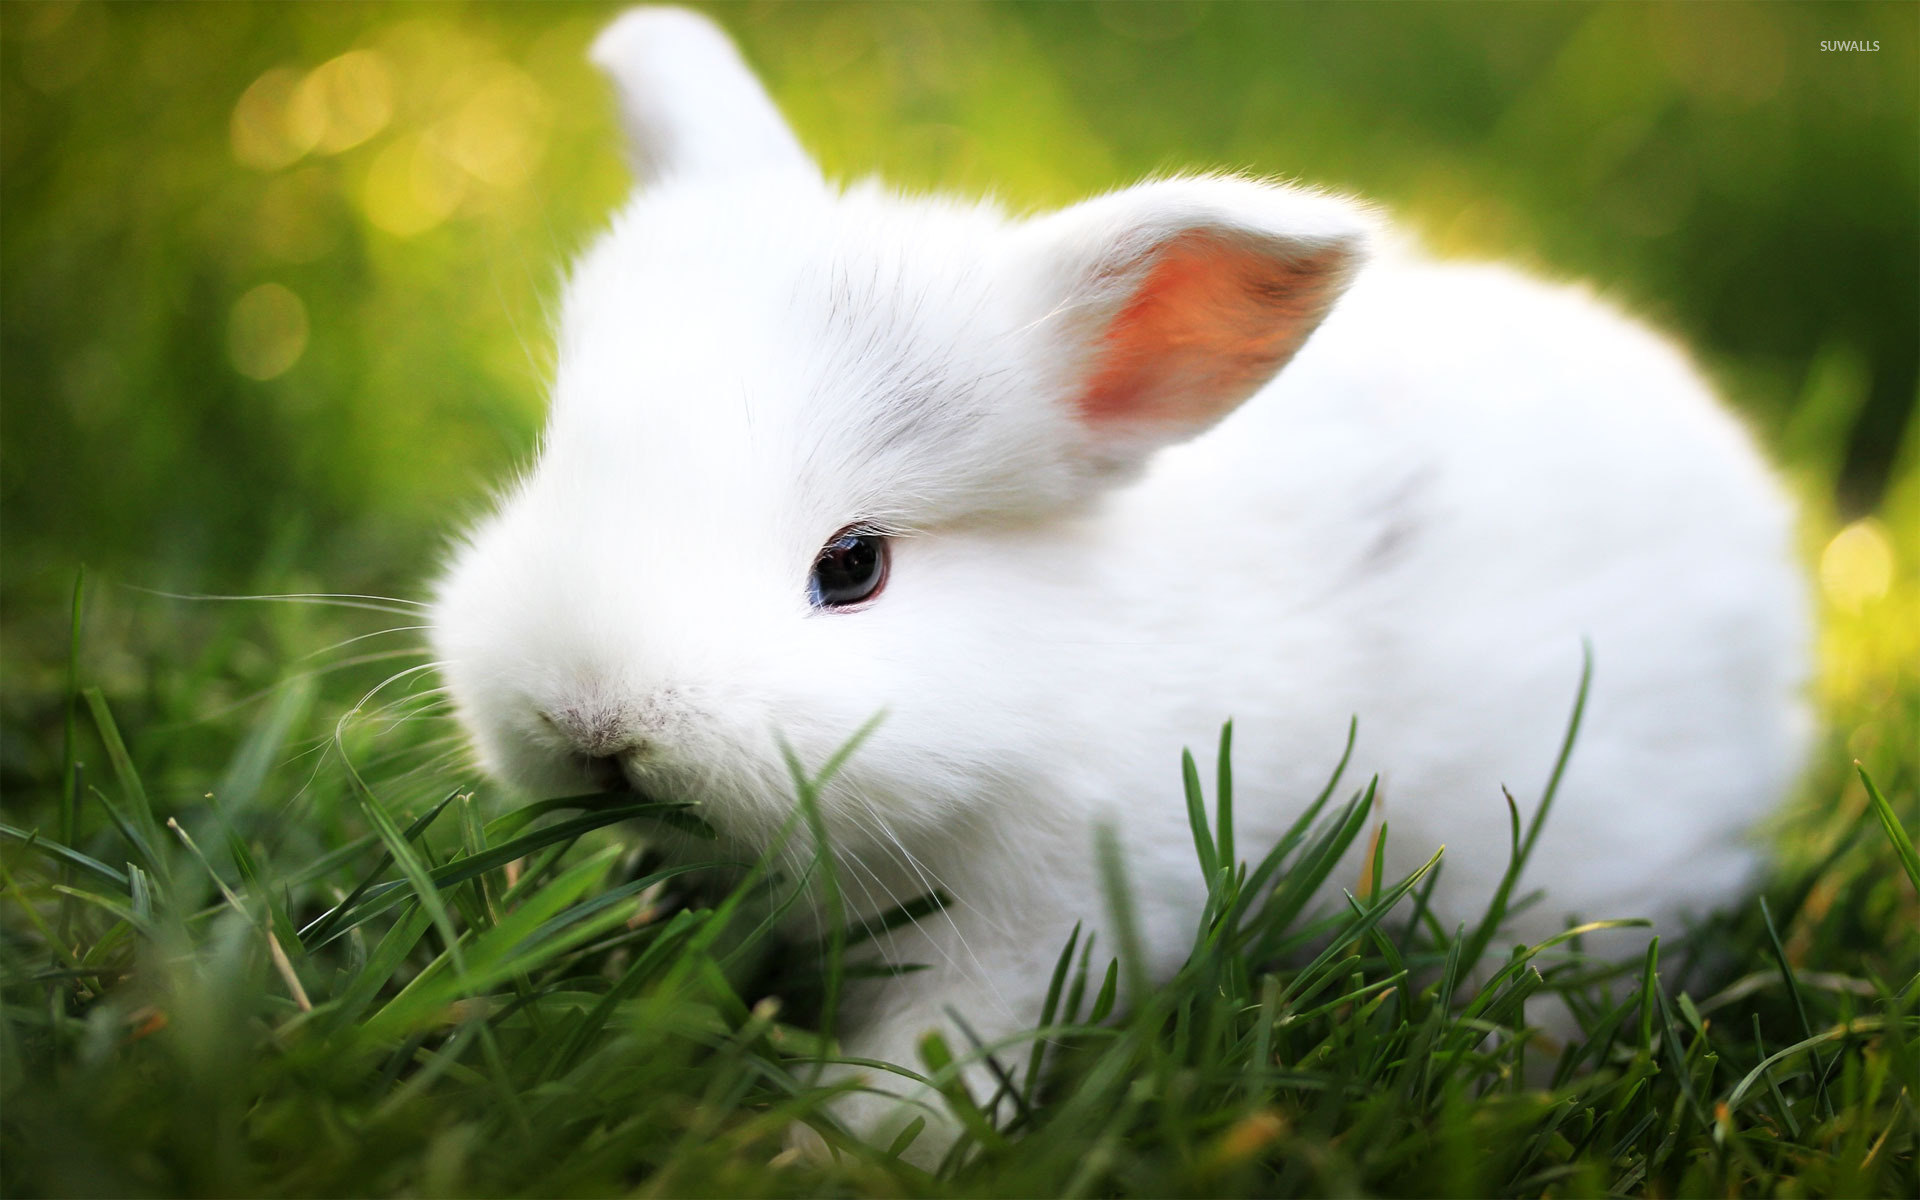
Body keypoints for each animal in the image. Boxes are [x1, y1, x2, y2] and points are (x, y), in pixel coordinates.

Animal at [428, 6, 1811, 1162]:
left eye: (854, 565)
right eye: (553, 463)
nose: (593, 722)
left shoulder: (1047, 920)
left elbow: (936, 1060)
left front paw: (834, 1155)